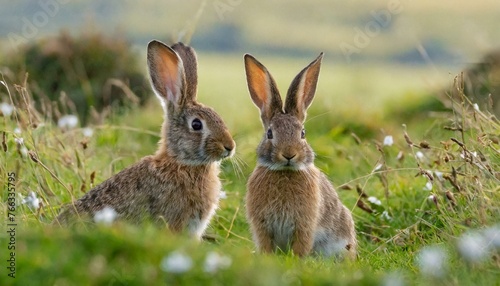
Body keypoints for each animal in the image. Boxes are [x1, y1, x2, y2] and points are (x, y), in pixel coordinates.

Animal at [244, 52, 358, 258]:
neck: (284, 172)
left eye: (303, 133)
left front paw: (298, 260)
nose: (289, 154)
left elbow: (301, 245)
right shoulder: (262, 226)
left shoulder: (304, 224)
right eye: (270, 133)